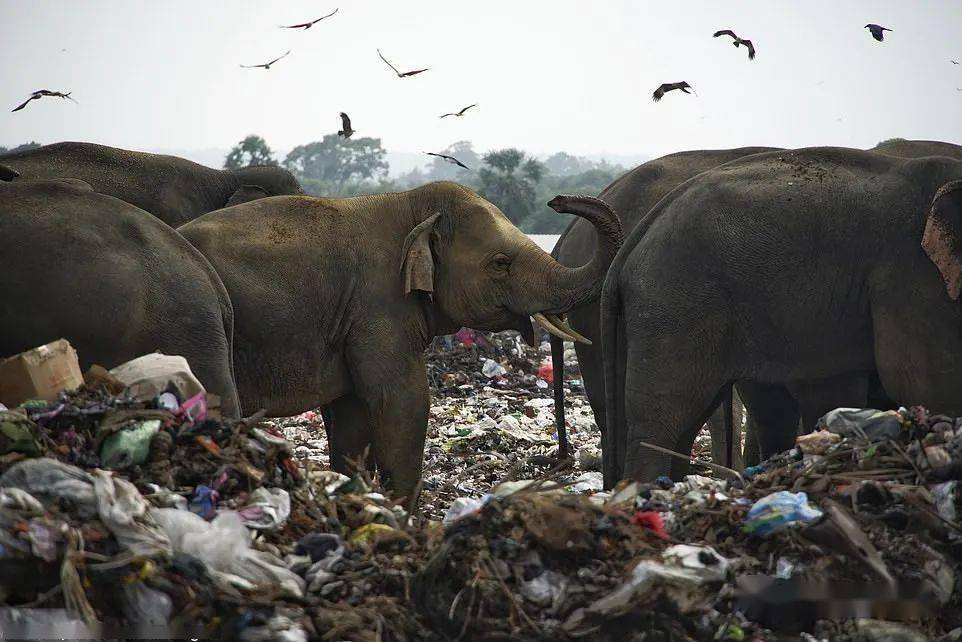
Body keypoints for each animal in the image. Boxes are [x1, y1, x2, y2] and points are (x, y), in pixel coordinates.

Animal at [179, 181, 624, 500]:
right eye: (501, 263)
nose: (558, 200)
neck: (411, 206)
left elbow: (352, 412)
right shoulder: (378, 307)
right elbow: (401, 402)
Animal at [604, 148, 960, 480]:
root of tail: (639, 235)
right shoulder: (910, 270)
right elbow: (922, 381)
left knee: (693, 418)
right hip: (675, 304)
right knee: (662, 418)